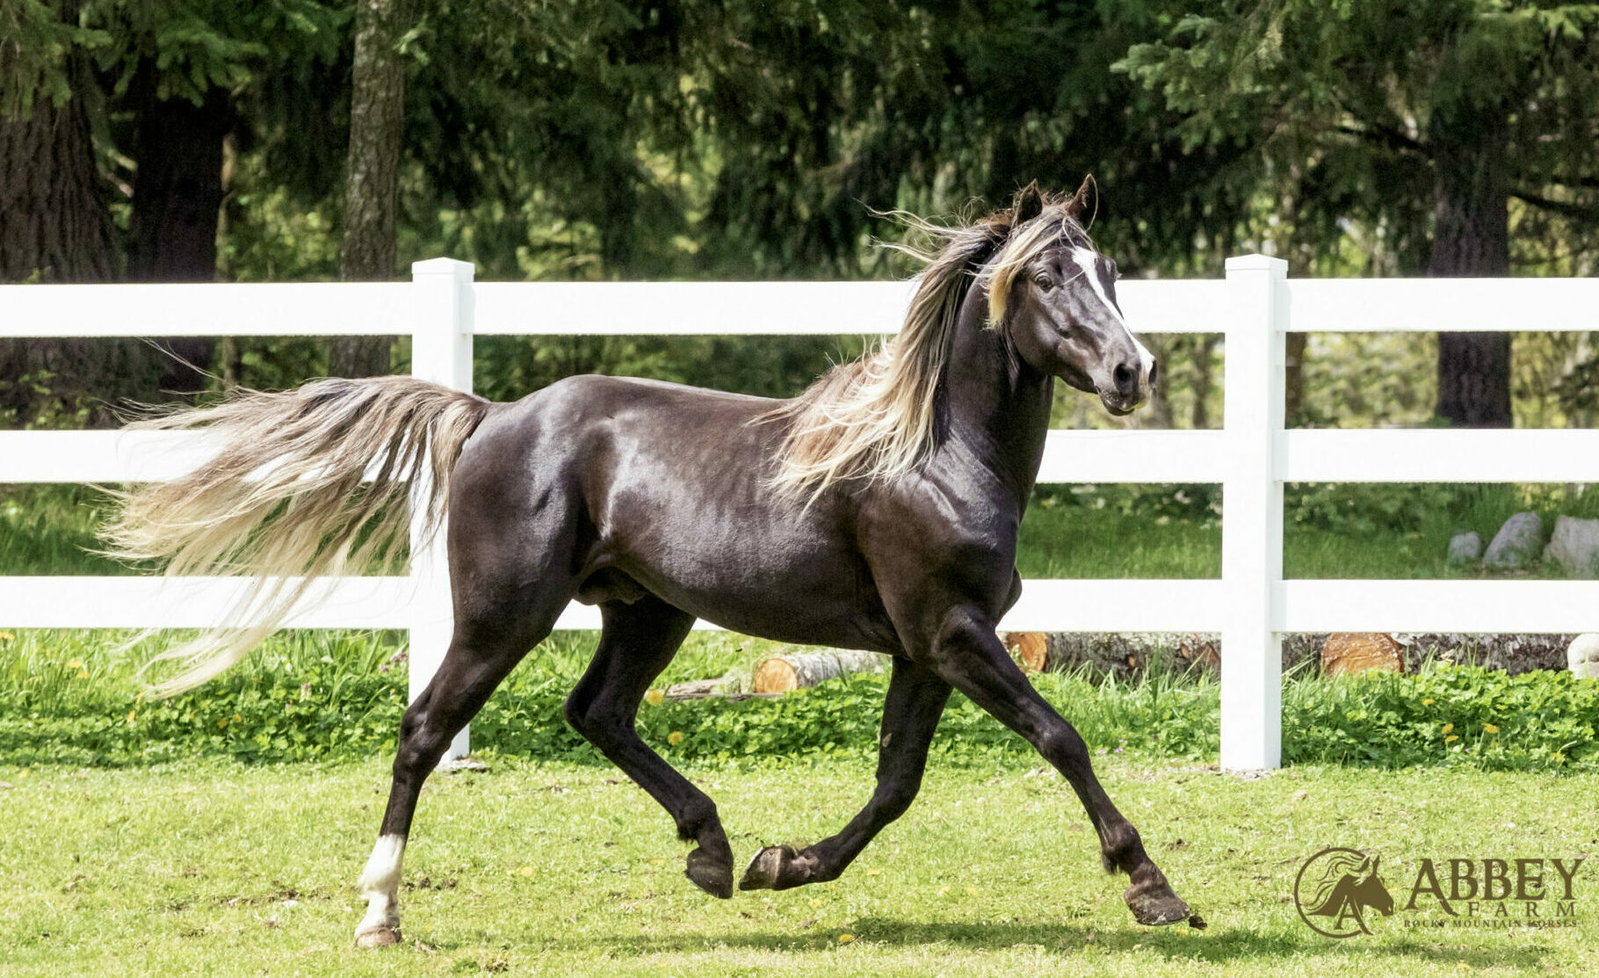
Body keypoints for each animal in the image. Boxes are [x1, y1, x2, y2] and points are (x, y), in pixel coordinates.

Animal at [106, 178, 1200, 947]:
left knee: (598, 713)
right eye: (1047, 277)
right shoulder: (952, 634)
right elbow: (1060, 739)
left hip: (646, 611)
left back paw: (710, 852)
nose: (1132, 371)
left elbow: (897, 783)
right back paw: (380, 915)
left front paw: (780, 864)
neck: (930, 455)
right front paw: (1154, 890)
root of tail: (490, 417)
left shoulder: (922, 648)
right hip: (505, 613)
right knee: (425, 730)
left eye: (1111, 272)